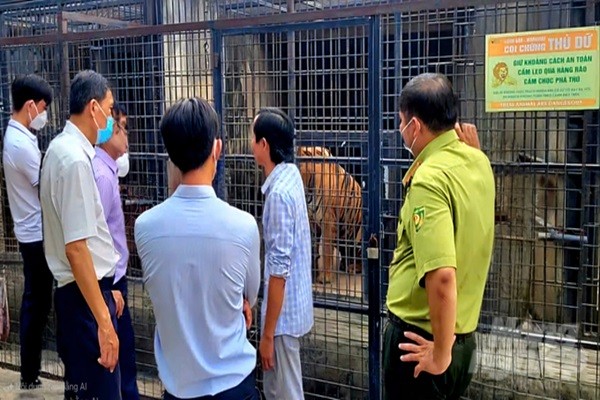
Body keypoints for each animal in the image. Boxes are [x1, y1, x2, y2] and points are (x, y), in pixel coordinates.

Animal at [298, 147, 364, 284]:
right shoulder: (310, 220)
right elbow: (312, 246)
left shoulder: (328, 220)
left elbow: (327, 249)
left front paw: (325, 277)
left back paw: (353, 267)